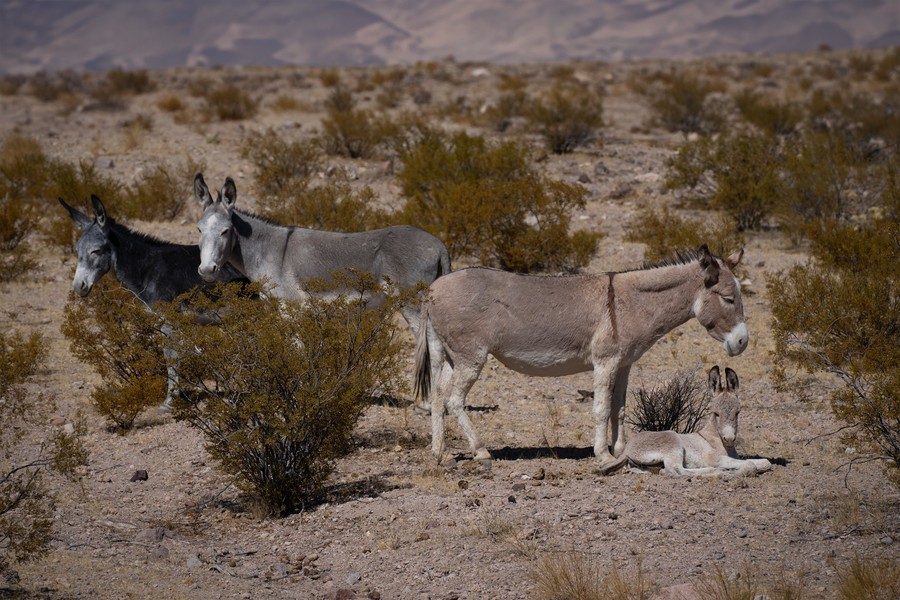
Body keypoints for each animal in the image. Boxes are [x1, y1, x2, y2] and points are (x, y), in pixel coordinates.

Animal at [600, 366, 768, 478]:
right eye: (716, 413)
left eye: (737, 412)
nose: (729, 438)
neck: (715, 439)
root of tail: (627, 449)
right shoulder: (715, 458)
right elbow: (750, 465)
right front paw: (734, 472)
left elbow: (764, 462)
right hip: (673, 443)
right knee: (676, 470)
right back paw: (716, 472)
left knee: (659, 470)